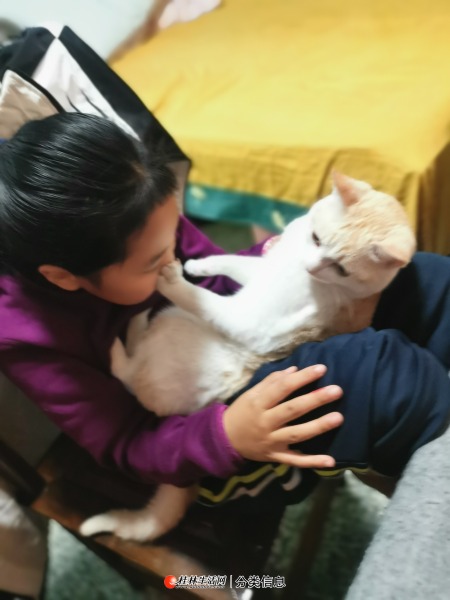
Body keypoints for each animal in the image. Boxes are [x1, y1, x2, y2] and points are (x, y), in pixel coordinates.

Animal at [79, 172, 416, 542]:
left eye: (341, 268)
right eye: (316, 239)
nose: (311, 266)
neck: (296, 263)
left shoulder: (250, 318)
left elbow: (201, 298)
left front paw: (171, 278)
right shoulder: (262, 270)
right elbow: (234, 261)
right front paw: (198, 264)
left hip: (171, 323)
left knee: (127, 371)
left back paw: (127, 330)